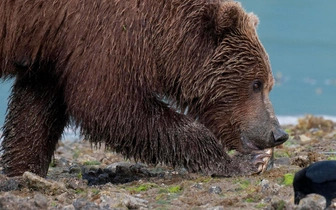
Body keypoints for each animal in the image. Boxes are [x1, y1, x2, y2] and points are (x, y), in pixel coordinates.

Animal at [0, 0, 288, 177]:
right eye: (256, 83)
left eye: (269, 83)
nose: (278, 133)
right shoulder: (104, 33)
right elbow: (111, 107)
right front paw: (244, 163)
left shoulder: (54, 47)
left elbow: (35, 113)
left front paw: (23, 170)